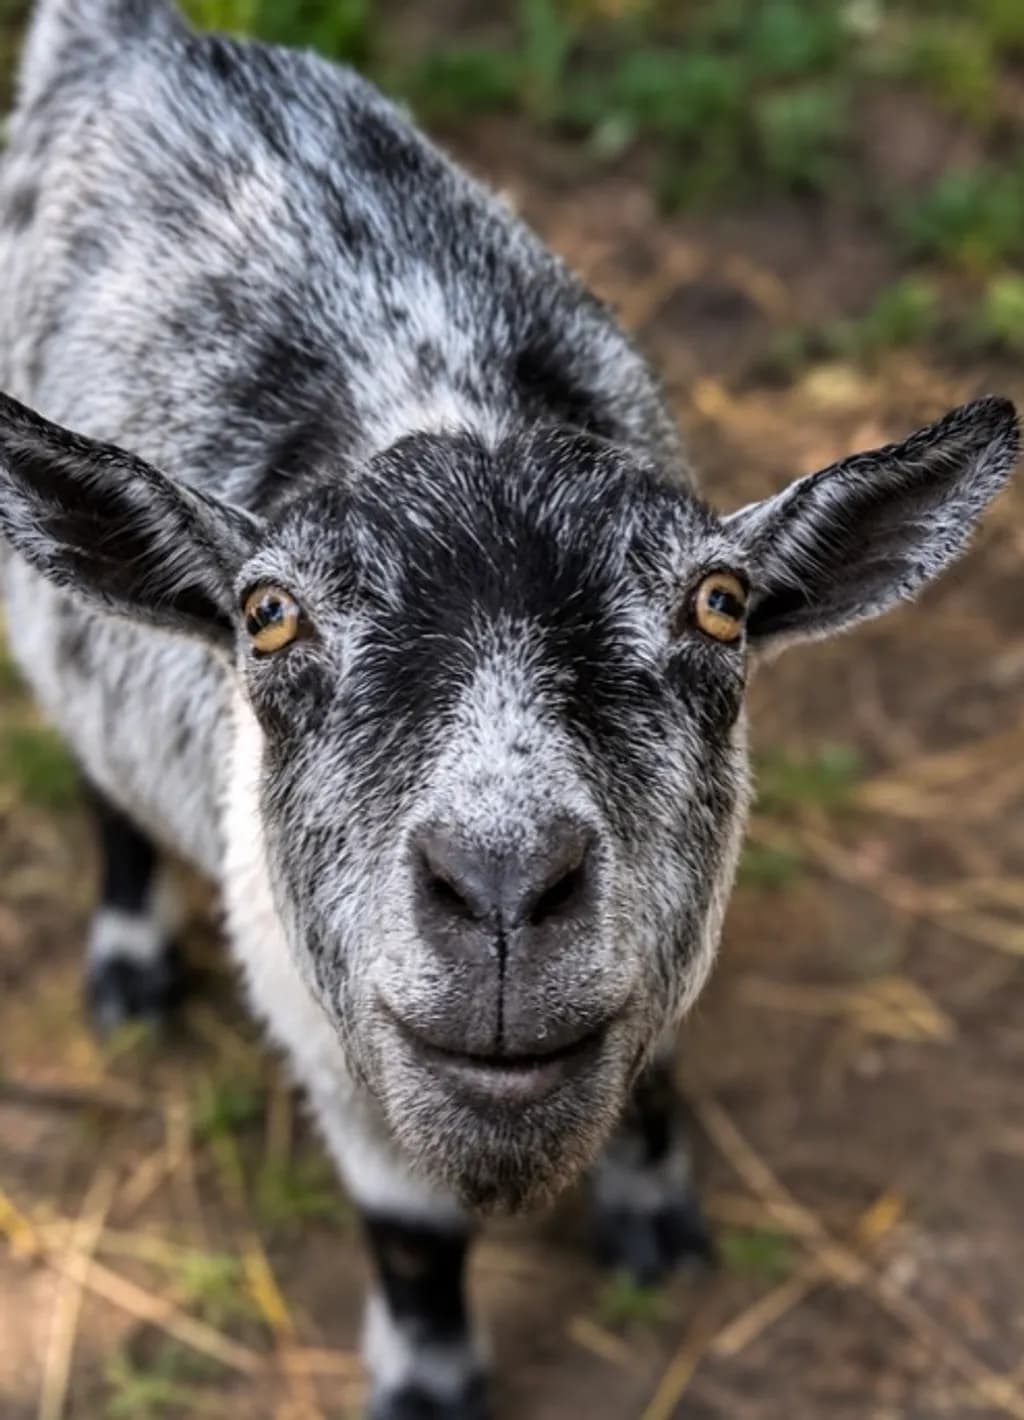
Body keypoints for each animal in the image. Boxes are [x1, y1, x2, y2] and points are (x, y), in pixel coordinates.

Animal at [0, 3, 1017, 1415]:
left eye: (719, 606)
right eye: (269, 615)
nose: (498, 885)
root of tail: (139, 36)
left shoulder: (669, 928)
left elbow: (650, 1074)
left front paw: (653, 1225)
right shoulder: (325, 1025)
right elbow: (410, 1234)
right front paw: (429, 1381)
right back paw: (130, 963)